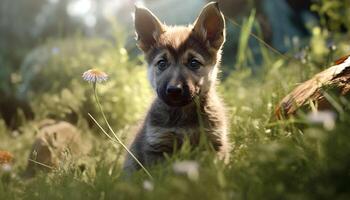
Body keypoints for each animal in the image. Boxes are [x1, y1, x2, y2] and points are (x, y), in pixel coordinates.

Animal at [123, 1, 230, 172]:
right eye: (162, 63)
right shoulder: (158, 146)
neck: (183, 115)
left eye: (194, 63)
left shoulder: (214, 143)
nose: (174, 90)